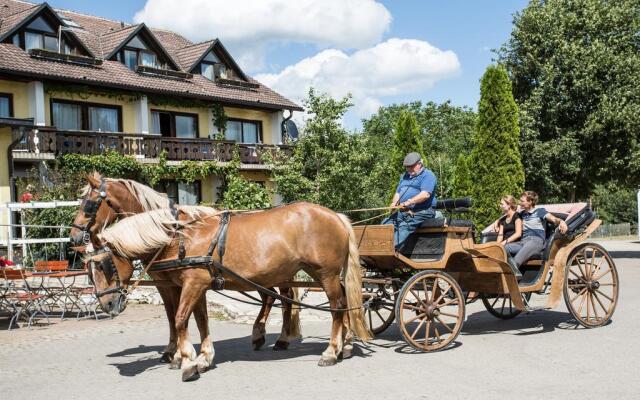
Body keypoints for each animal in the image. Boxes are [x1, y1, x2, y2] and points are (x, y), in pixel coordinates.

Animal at [90, 203, 370, 382]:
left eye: (104, 265)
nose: (107, 305)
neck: (181, 237)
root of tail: (336, 216)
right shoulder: (197, 285)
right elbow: (201, 321)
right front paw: (203, 358)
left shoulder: (191, 284)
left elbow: (180, 319)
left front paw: (188, 361)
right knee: (342, 301)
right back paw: (345, 345)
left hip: (325, 274)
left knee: (336, 306)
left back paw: (331, 351)